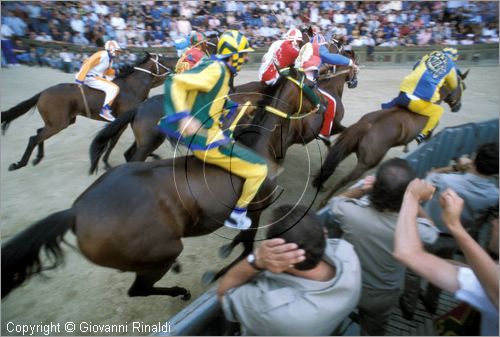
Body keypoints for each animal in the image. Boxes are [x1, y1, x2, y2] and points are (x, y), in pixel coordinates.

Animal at [0, 52, 175, 171]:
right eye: (162, 59)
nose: (176, 59)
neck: (132, 87)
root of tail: (43, 93)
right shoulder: (123, 121)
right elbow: (113, 142)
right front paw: (106, 163)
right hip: (58, 124)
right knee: (33, 138)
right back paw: (19, 164)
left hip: (60, 122)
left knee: (38, 133)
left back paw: (37, 158)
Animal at [0, 67, 320, 298]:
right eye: (314, 86)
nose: (322, 111)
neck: (260, 144)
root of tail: (75, 211)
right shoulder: (255, 209)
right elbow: (246, 246)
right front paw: (225, 268)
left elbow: (243, 244)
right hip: (164, 249)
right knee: (138, 290)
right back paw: (179, 291)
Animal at [314, 69, 466, 205]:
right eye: (463, 87)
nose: (458, 107)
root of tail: (367, 125)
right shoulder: (430, 131)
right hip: (366, 163)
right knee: (344, 180)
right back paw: (325, 201)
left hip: (347, 148)